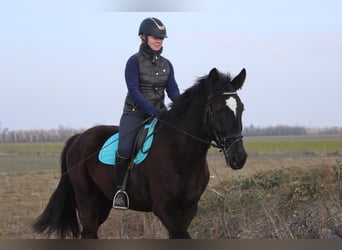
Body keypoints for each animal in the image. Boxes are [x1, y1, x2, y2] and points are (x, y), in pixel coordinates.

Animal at [32, 67, 246, 239]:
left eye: (241, 108)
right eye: (216, 109)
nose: (239, 158)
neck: (182, 155)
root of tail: (78, 138)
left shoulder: (189, 208)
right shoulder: (164, 208)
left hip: (103, 202)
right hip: (87, 199)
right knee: (89, 232)